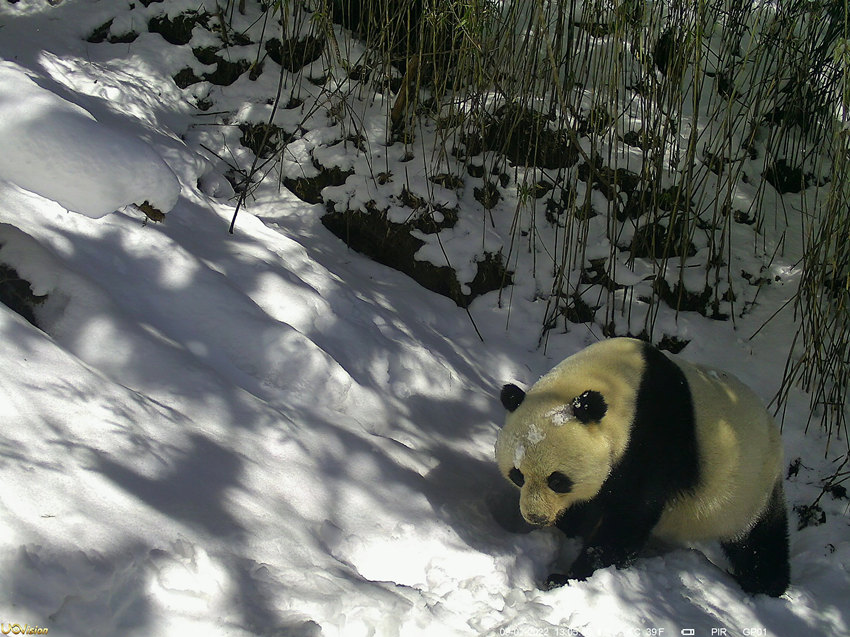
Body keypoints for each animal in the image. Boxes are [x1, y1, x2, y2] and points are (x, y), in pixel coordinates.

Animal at [496, 338, 788, 596]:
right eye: (518, 476)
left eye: (557, 480)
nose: (536, 517)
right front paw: (568, 534)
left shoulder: (651, 441)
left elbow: (630, 516)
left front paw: (568, 577)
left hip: (748, 485)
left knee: (758, 539)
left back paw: (764, 585)